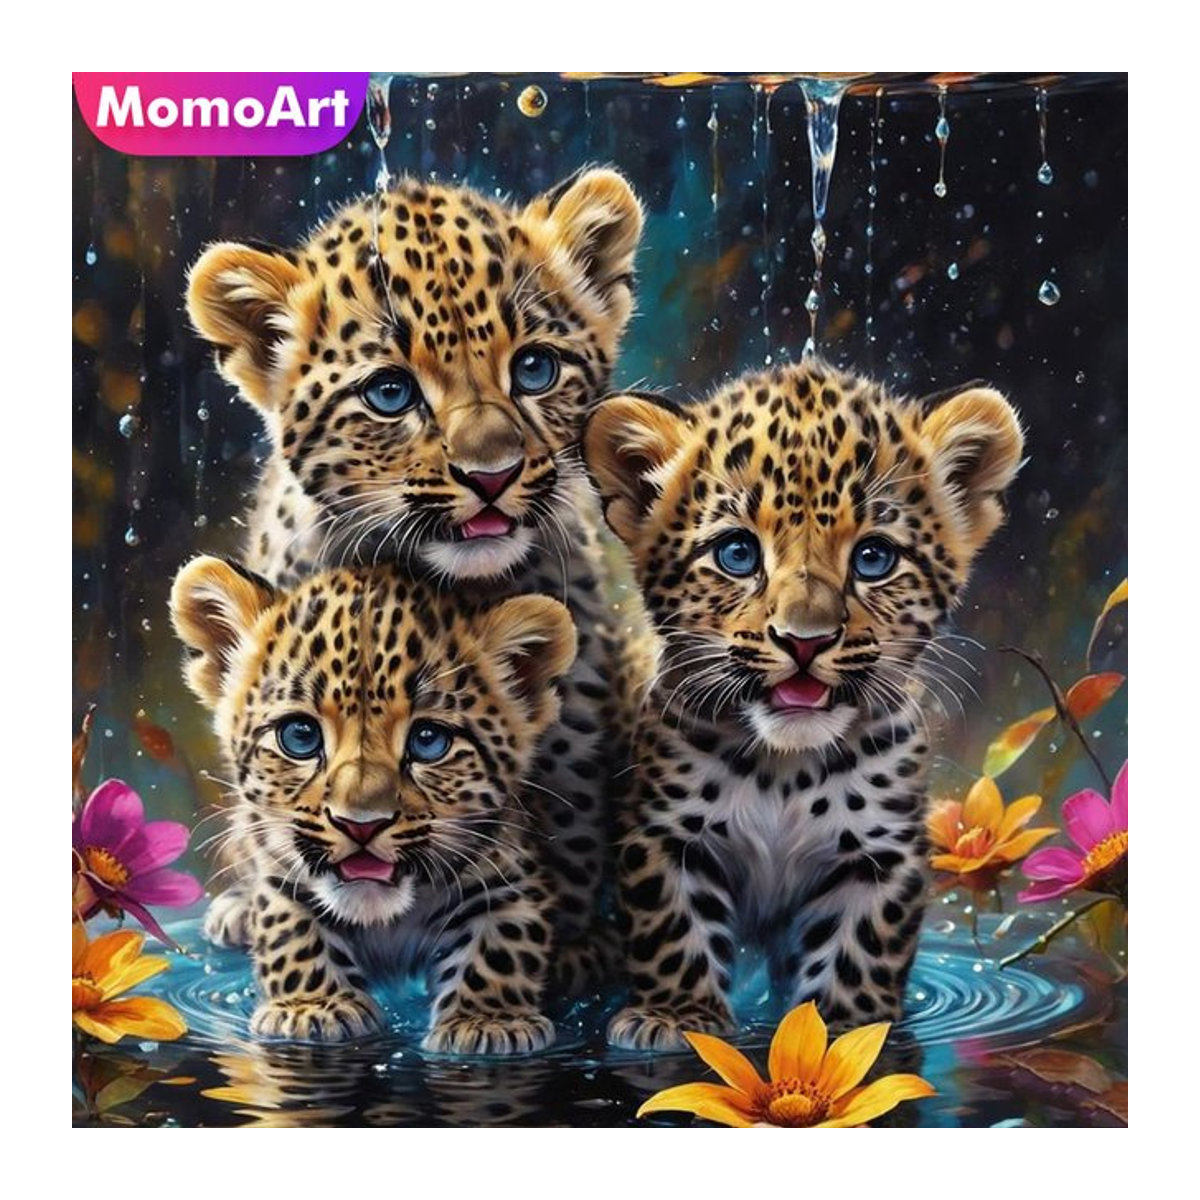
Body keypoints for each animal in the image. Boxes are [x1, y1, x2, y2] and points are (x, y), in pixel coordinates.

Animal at [170, 554, 577, 1052]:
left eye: (428, 740)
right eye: (299, 736)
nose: (361, 825)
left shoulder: (507, 875)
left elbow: (501, 943)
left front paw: (488, 1023)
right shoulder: (283, 875)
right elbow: (292, 930)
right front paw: (314, 1009)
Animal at [184, 167, 643, 983]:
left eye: (535, 368)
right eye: (390, 392)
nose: (491, 476)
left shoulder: (581, 675)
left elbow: (568, 797)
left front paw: (571, 939)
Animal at [582, 359, 1024, 1050]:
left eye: (873, 558)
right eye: (737, 553)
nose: (804, 641)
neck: (784, 771)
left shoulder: (879, 854)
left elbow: (857, 945)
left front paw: (849, 1024)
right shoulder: (667, 832)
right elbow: (675, 926)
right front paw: (675, 1018)